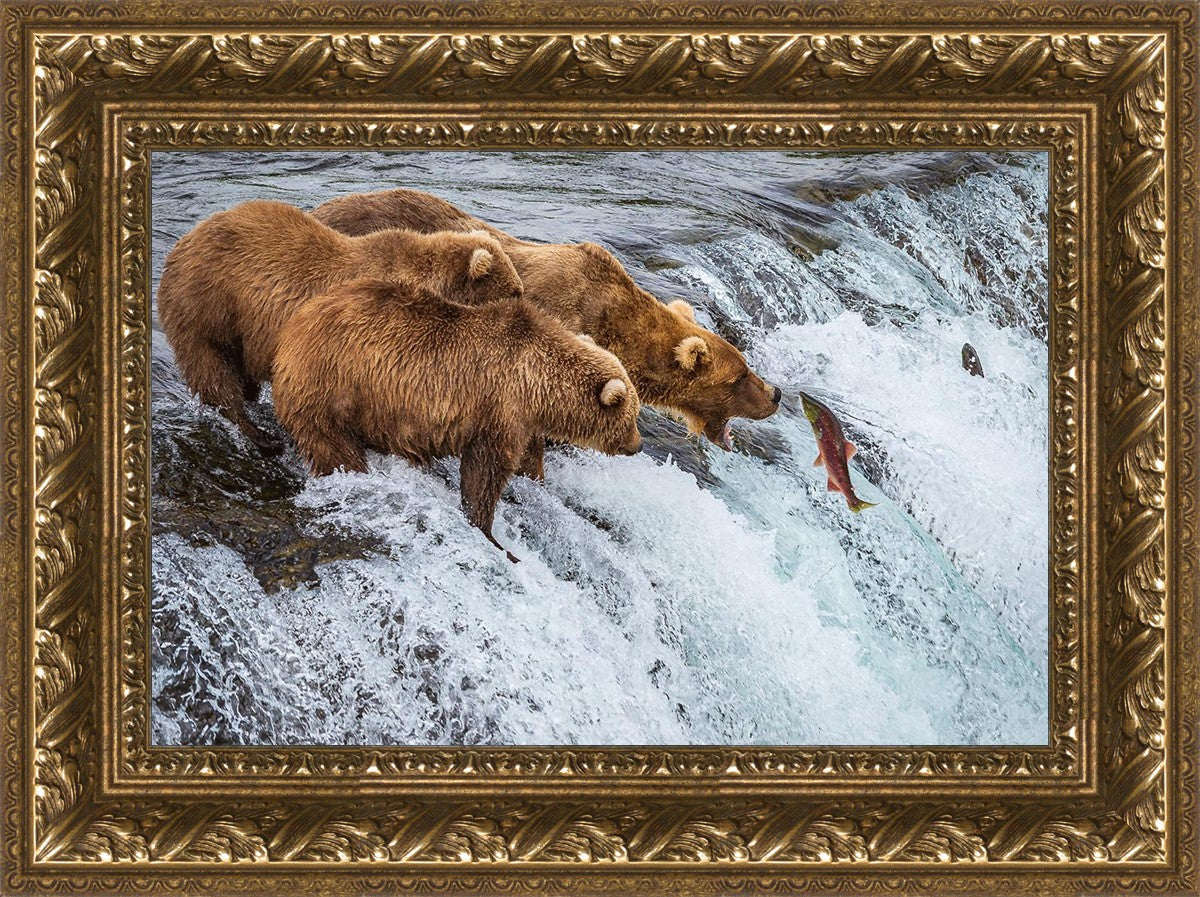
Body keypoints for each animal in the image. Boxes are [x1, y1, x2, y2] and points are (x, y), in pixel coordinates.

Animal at [156, 198, 523, 454]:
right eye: (515, 291)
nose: (525, 307)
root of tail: (183, 242)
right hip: (208, 306)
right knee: (213, 370)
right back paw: (260, 435)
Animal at [272, 277, 642, 561]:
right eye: (632, 417)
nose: (637, 445)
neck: (537, 384)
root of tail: (292, 329)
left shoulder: (523, 421)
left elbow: (527, 460)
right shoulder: (499, 407)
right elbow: (485, 472)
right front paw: (492, 535)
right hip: (332, 387)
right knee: (334, 447)